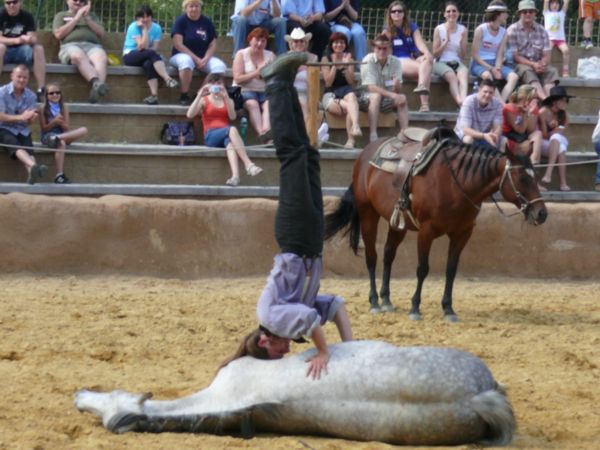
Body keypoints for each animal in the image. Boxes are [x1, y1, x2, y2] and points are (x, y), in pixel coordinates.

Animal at [326, 125, 548, 320]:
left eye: (535, 176)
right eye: (522, 178)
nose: (541, 213)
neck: (456, 183)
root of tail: (364, 155)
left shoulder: (463, 232)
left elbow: (451, 270)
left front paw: (448, 309)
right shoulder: (427, 230)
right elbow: (422, 268)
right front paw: (415, 308)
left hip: (397, 223)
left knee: (388, 255)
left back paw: (386, 299)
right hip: (368, 214)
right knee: (371, 257)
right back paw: (374, 302)